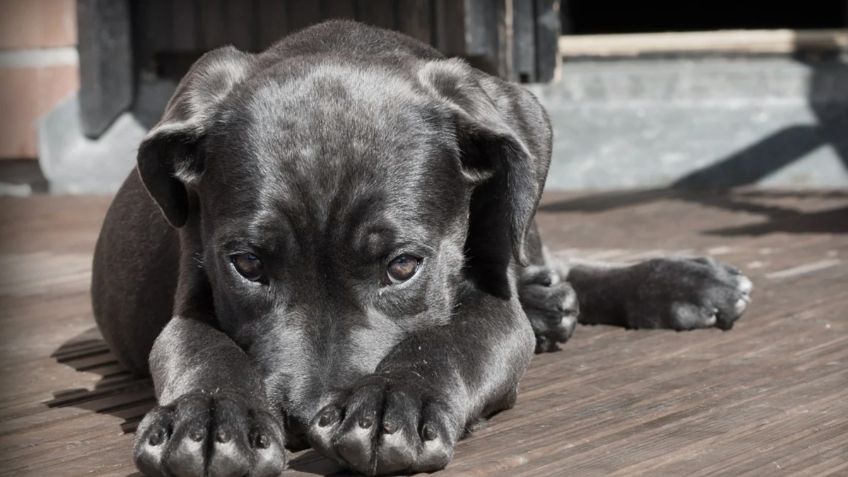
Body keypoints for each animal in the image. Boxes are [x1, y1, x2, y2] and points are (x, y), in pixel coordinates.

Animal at [93, 19, 752, 476]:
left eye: (404, 266)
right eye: (247, 265)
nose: (304, 419)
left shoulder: (493, 304)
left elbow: (452, 340)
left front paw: (393, 401)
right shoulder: (193, 289)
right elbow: (200, 346)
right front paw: (210, 416)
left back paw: (680, 283)